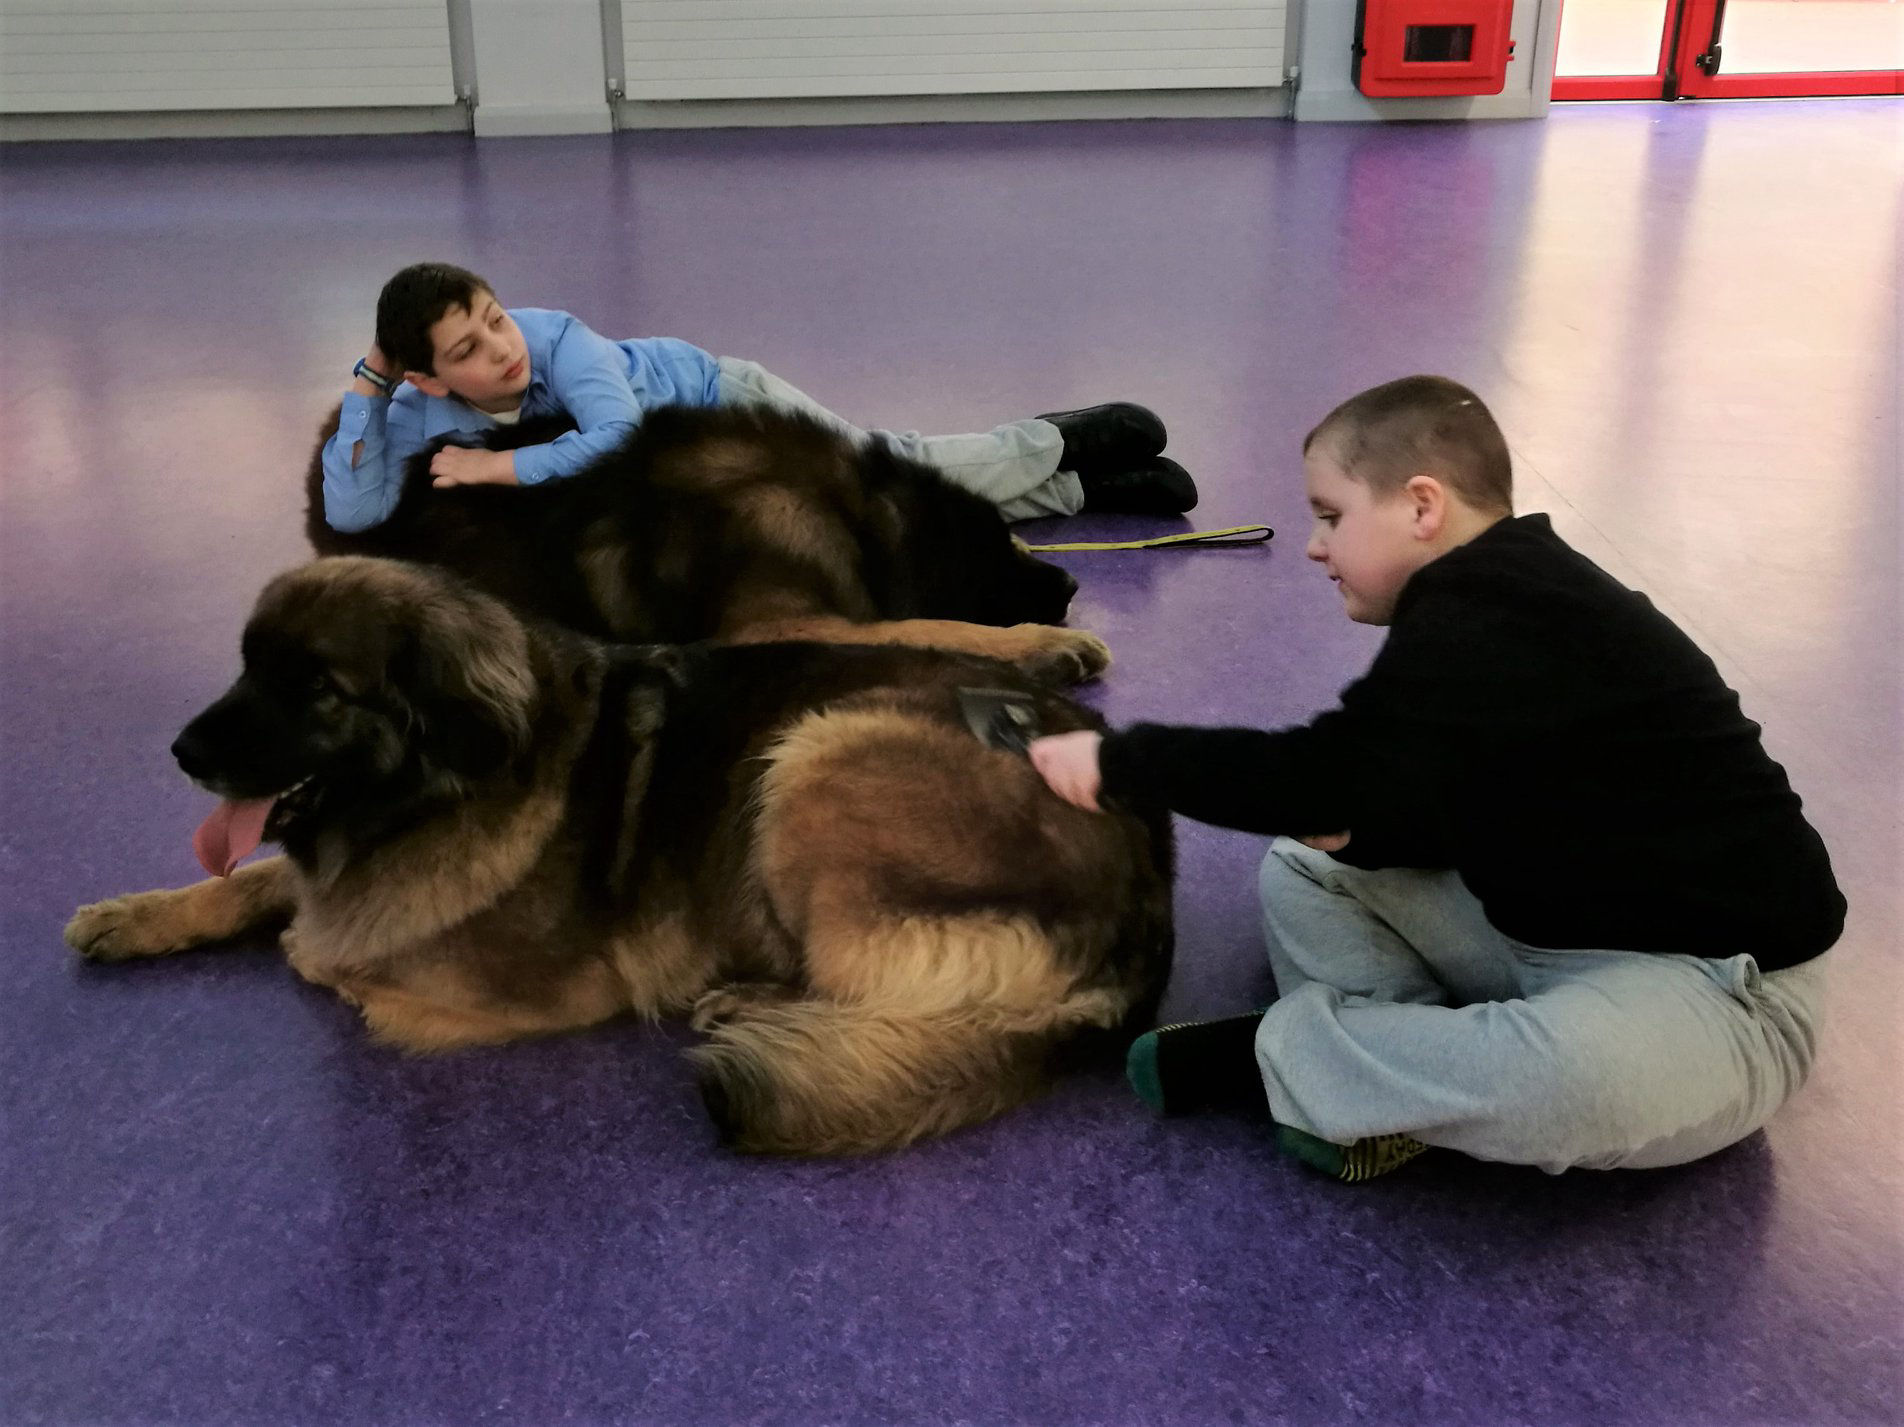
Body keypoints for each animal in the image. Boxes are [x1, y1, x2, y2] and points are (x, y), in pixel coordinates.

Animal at [63, 552, 1172, 1143]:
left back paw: (748, 999)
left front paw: (311, 939)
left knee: (887, 983)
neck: (450, 780)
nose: (182, 751)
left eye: (319, 690)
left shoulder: (496, 989)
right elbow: (254, 881)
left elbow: (322, 949)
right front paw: (136, 912)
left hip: (816, 751)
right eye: (247, 665)